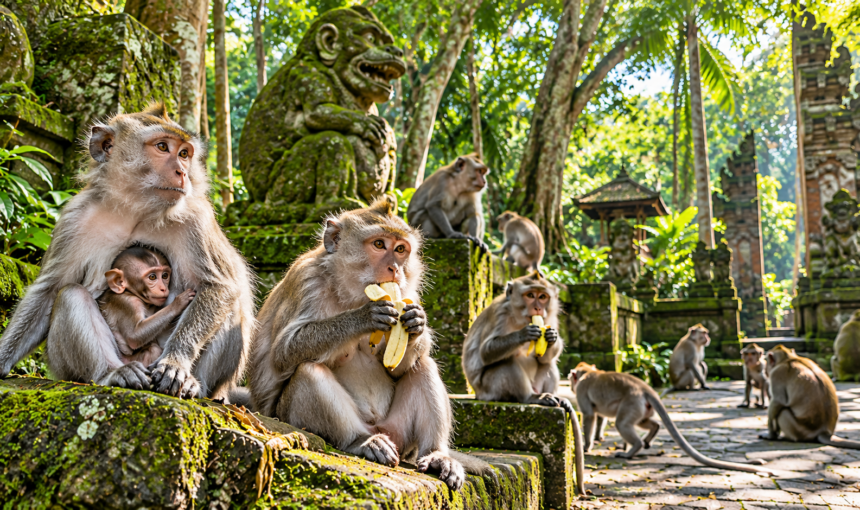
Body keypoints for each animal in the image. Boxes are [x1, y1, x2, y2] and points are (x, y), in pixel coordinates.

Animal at [0, 103, 255, 402]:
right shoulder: (74, 217)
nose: (182, 172)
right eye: (162, 147)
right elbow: (50, 290)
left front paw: (176, 363)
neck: (137, 208)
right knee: (71, 295)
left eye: (184, 153)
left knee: (230, 303)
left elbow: (218, 286)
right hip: (67, 366)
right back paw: (112, 374)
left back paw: (195, 384)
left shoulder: (196, 219)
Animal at [248, 195, 495, 491]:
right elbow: (283, 353)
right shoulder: (306, 281)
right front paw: (364, 317)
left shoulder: (407, 293)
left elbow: (397, 368)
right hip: (294, 417)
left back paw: (436, 455)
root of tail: (381, 430)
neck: (349, 292)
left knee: (423, 367)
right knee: (308, 371)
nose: (395, 269)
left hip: (399, 432)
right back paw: (361, 441)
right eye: (379, 244)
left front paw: (417, 325)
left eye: (400, 249)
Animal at [462, 270, 584, 494]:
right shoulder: (499, 314)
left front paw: (552, 337)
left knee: (548, 364)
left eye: (543, 297)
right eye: (530, 295)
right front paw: (524, 334)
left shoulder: (550, 317)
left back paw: (555, 398)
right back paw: (530, 398)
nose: (537, 308)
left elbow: (545, 357)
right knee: (506, 363)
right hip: (490, 389)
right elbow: (486, 351)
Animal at [570, 362, 773, 474]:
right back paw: (650, 436)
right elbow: (599, 416)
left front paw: (586, 446)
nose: (571, 384)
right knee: (644, 422)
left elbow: (589, 415)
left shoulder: (581, 390)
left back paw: (632, 450)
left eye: (573, 380)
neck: (587, 372)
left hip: (632, 402)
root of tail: (646, 388)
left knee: (622, 423)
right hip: (642, 407)